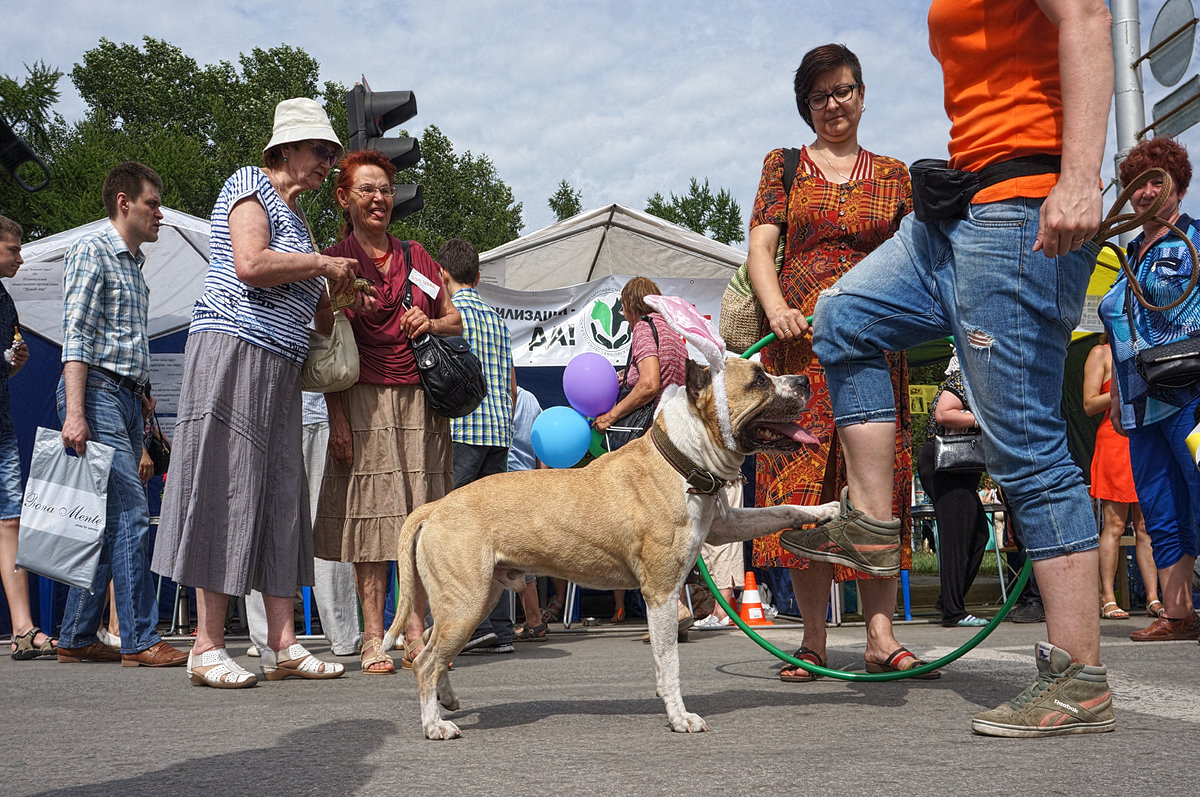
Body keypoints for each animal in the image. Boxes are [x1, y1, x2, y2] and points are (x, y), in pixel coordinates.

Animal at [384, 355, 835, 739]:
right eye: (758, 380)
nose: (803, 380)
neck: (681, 458)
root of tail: (436, 506)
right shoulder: (661, 593)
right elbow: (670, 661)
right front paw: (680, 717)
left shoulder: (726, 527)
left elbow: (779, 511)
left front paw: (827, 509)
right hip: (467, 601)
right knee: (425, 660)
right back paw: (434, 724)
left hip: (471, 599)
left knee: (431, 644)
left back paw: (446, 699)